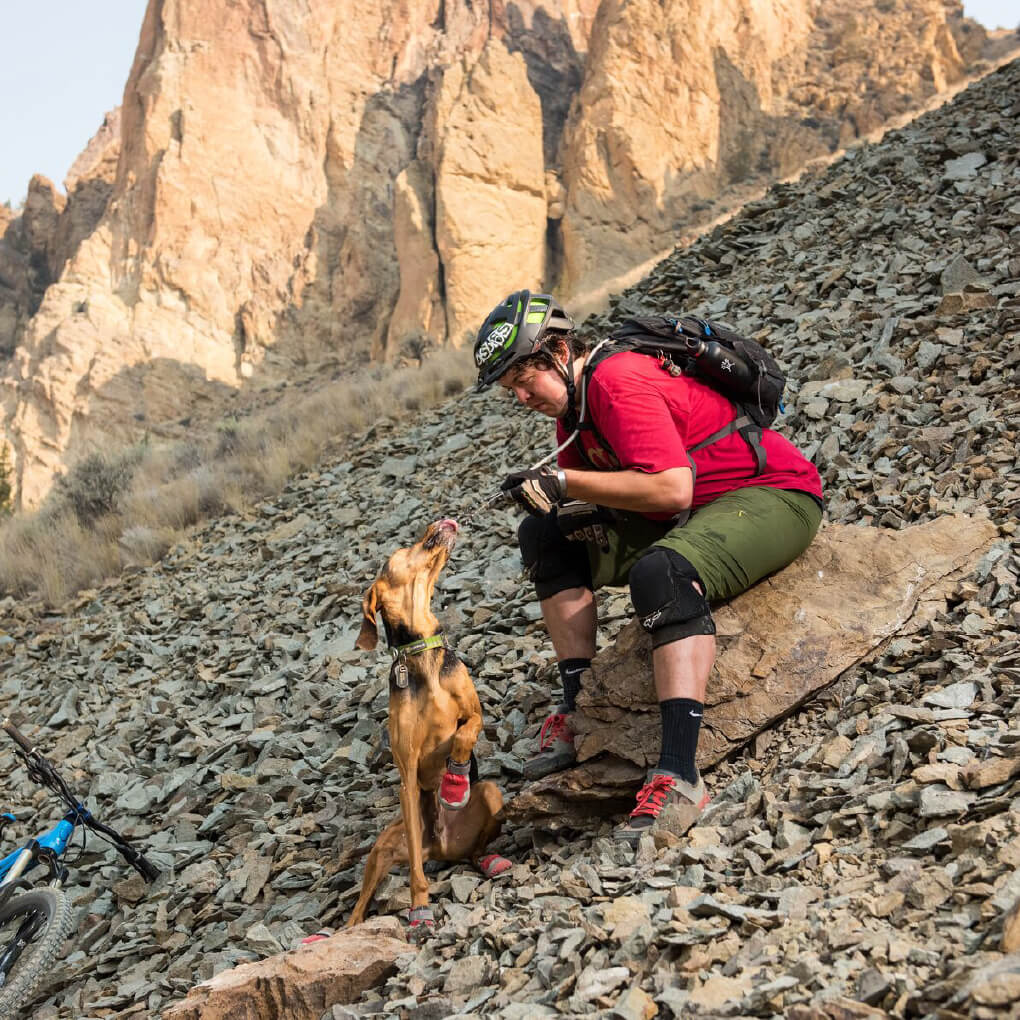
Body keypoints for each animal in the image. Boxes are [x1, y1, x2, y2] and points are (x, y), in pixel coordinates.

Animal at [348, 518, 507, 934]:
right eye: (401, 550)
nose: (441, 521)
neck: (420, 650)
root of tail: (443, 846)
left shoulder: (475, 713)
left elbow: (465, 733)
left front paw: (453, 782)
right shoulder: (407, 771)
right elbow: (417, 874)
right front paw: (420, 907)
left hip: (491, 796)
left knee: (475, 851)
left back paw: (489, 859)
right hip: (385, 847)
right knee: (364, 899)